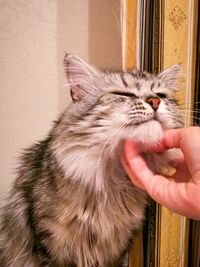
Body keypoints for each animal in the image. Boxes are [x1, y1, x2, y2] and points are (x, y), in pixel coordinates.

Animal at [0, 55, 181, 267]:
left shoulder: (117, 248)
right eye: (123, 94)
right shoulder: (50, 245)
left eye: (161, 95)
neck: (113, 180)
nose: (155, 101)